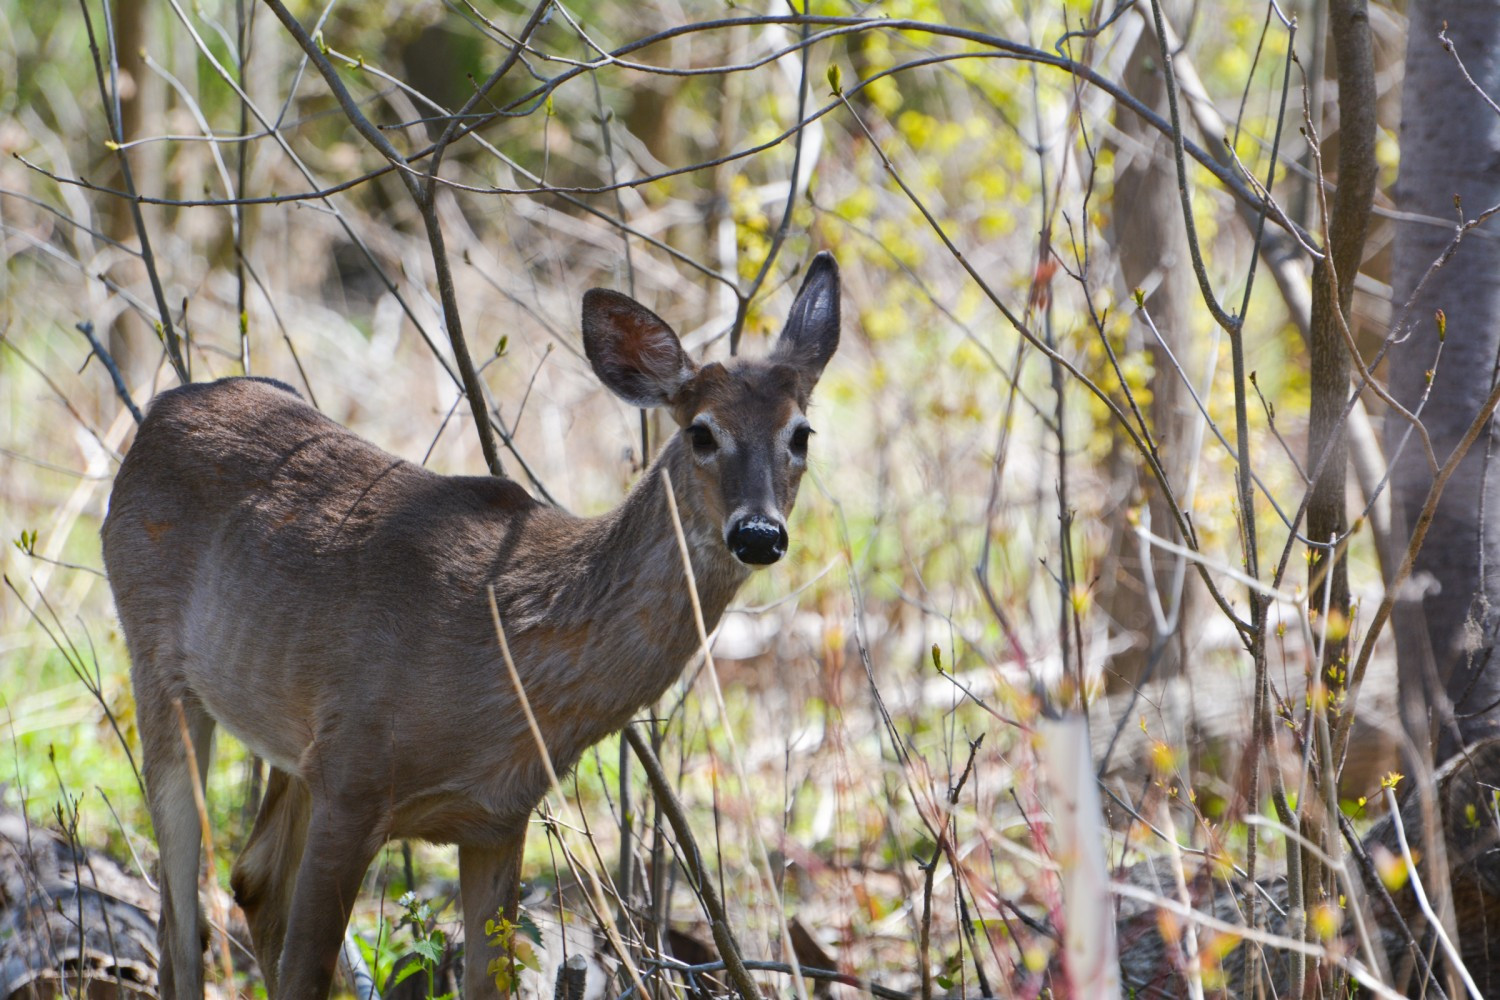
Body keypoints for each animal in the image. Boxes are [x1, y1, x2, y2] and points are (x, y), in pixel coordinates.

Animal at [105, 251, 846, 1000]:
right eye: (701, 432)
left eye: (801, 434)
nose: (758, 533)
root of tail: (165, 407)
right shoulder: (353, 778)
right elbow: (304, 969)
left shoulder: (495, 817)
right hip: (158, 663)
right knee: (182, 917)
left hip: (292, 737)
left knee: (251, 878)